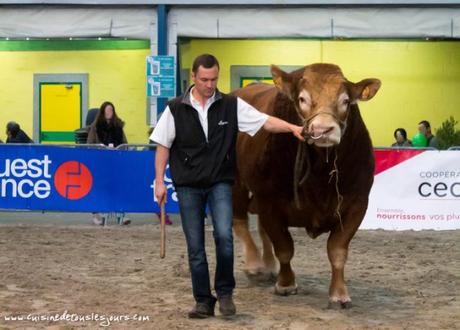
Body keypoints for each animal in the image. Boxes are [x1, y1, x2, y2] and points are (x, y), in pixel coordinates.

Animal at [234, 63, 380, 308]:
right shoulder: (270, 201)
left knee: (261, 230)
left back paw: (268, 265)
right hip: (236, 183)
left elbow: (337, 250)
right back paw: (255, 265)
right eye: (302, 98)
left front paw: (339, 294)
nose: (323, 129)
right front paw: (286, 284)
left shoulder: (357, 204)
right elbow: (284, 247)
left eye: (345, 101)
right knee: (240, 221)